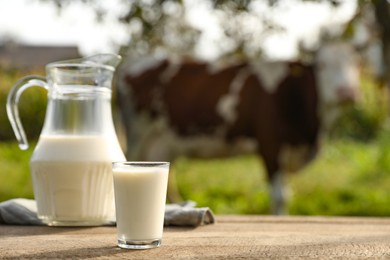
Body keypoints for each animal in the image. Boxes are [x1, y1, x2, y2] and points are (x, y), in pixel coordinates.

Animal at [116, 40, 360, 214]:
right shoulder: (269, 144)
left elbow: (286, 194)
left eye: (355, 65)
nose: (347, 92)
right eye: (321, 66)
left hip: (164, 144)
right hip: (138, 139)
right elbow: (279, 197)